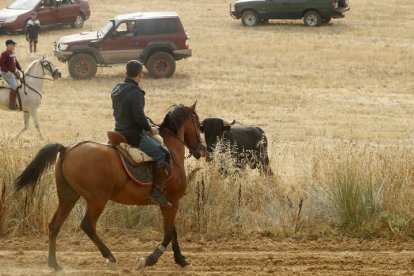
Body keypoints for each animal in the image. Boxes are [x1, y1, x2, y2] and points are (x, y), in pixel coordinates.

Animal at [14, 103, 205, 272]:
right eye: (198, 124)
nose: (202, 150)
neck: (171, 152)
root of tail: (67, 149)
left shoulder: (168, 203)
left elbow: (172, 231)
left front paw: (181, 260)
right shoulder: (172, 201)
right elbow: (168, 233)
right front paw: (148, 260)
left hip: (68, 197)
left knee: (54, 225)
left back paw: (55, 264)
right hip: (97, 199)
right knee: (88, 225)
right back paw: (110, 258)